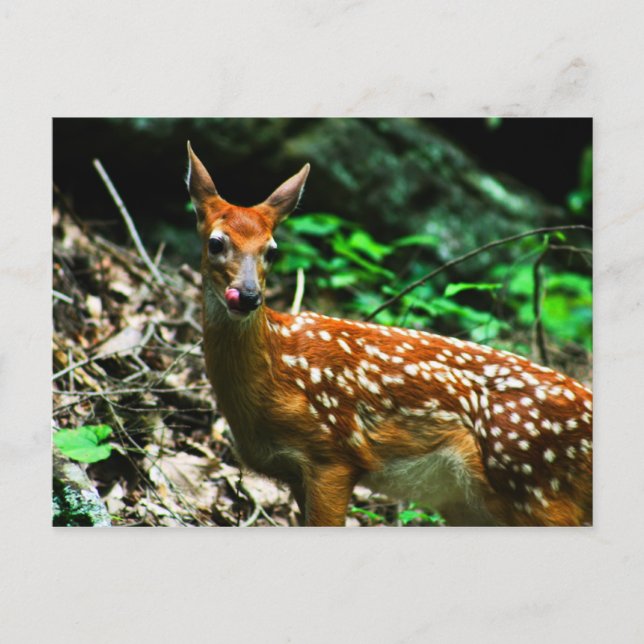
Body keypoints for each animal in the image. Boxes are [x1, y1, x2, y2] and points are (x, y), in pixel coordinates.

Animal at [186, 142, 593, 527]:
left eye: (271, 250)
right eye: (216, 243)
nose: (248, 295)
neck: (277, 369)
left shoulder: (333, 453)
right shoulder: (296, 472)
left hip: (538, 488)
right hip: (473, 504)